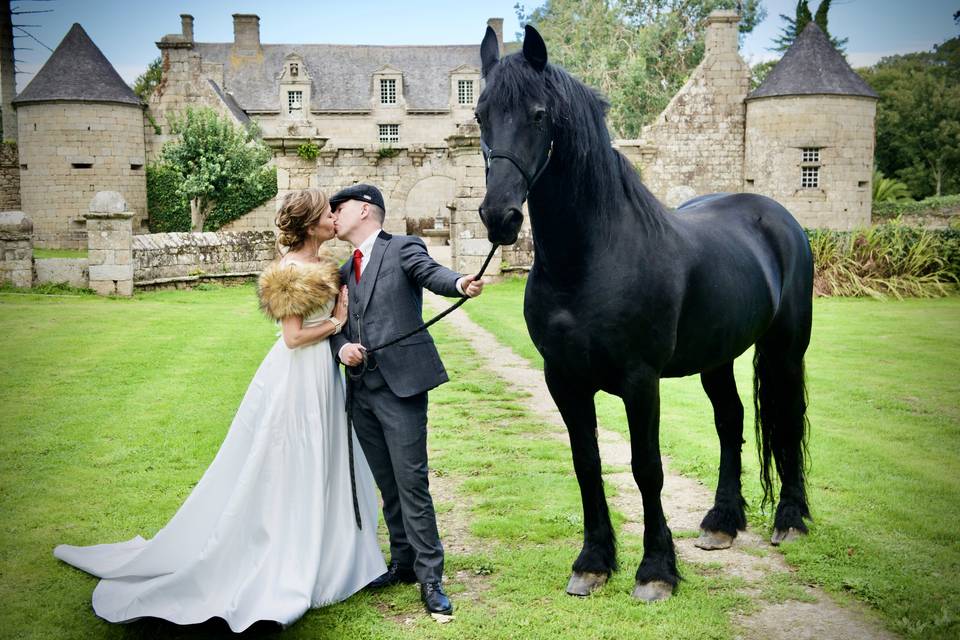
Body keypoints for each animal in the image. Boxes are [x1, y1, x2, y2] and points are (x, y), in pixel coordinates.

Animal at [476, 25, 812, 604]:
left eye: (539, 115)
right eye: (479, 116)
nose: (500, 217)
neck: (591, 259)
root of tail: (778, 218)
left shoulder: (640, 381)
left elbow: (646, 468)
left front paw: (655, 569)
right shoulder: (563, 380)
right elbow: (586, 464)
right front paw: (593, 562)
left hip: (785, 350)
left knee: (786, 419)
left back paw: (789, 519)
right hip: (717, 359)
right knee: (731, 421)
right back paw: (722, 522)